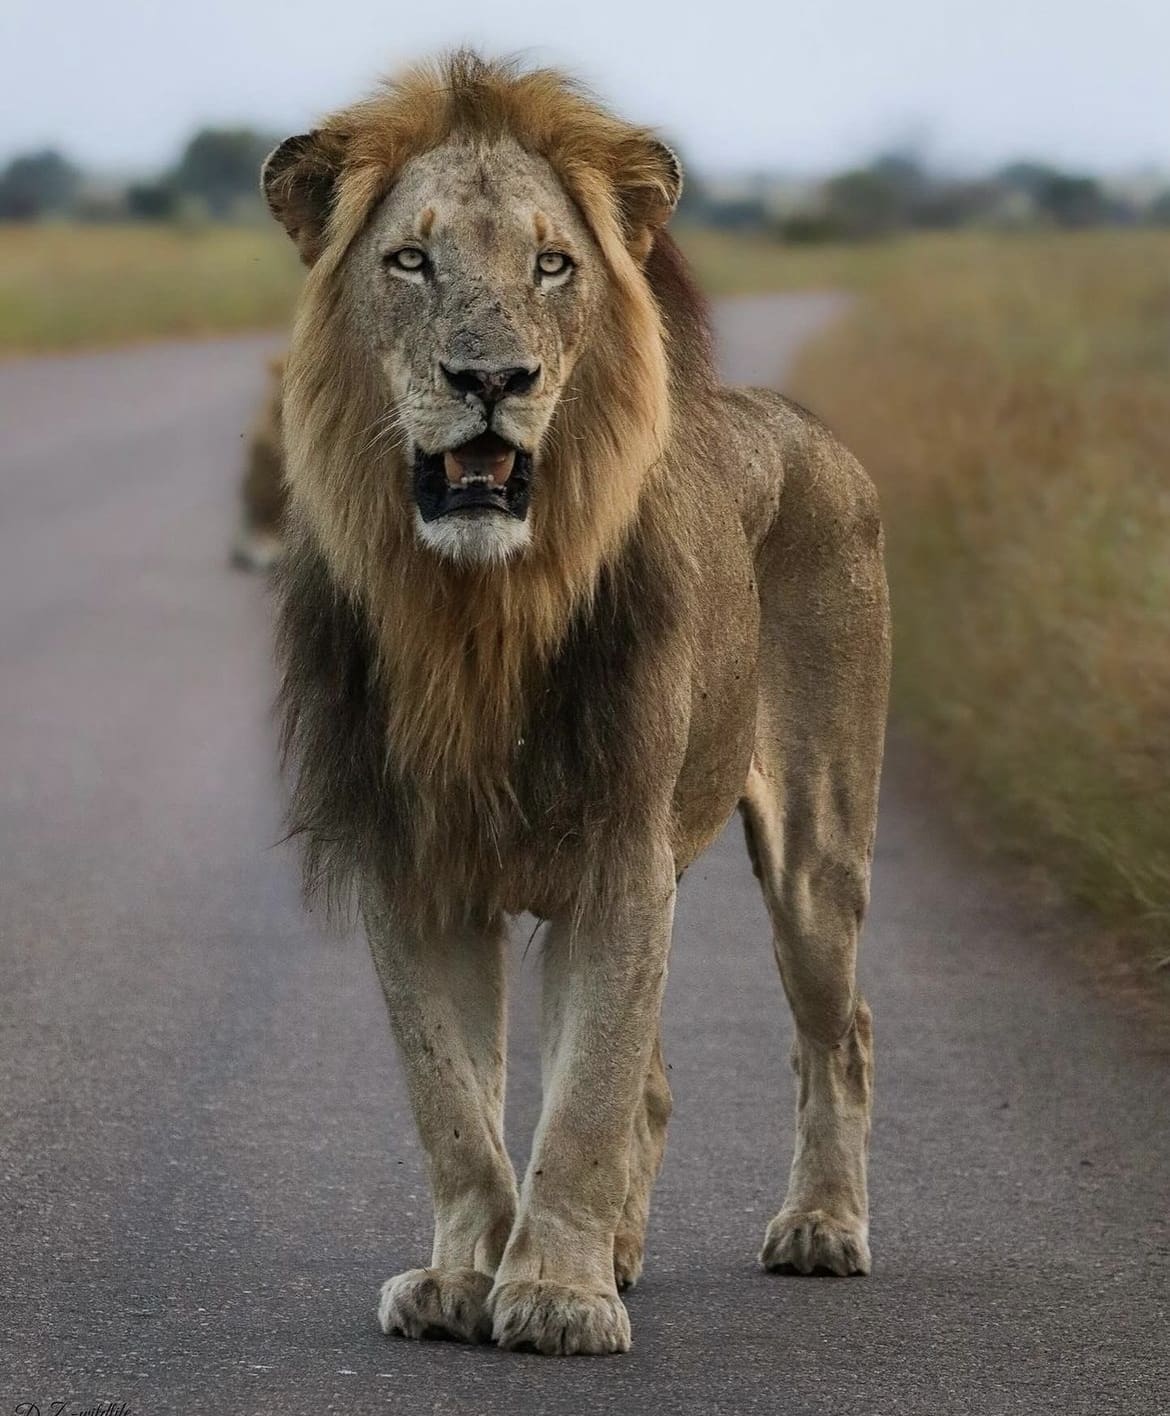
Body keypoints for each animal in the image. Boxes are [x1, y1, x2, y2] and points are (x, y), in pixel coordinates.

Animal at [263, 52, 890, 1356]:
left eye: (553, 264)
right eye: (412, 260)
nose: (492, 380)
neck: (473, 614)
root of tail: (803, 422)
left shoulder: (619, 857)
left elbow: (586, 1099)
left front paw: (555, 1294)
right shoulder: (416, 863)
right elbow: (455, 1102)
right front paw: (465, 1275)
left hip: (816, 846)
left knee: (836, 1032)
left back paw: (820, 1227)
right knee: (658, 1078)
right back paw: (628, 1251)